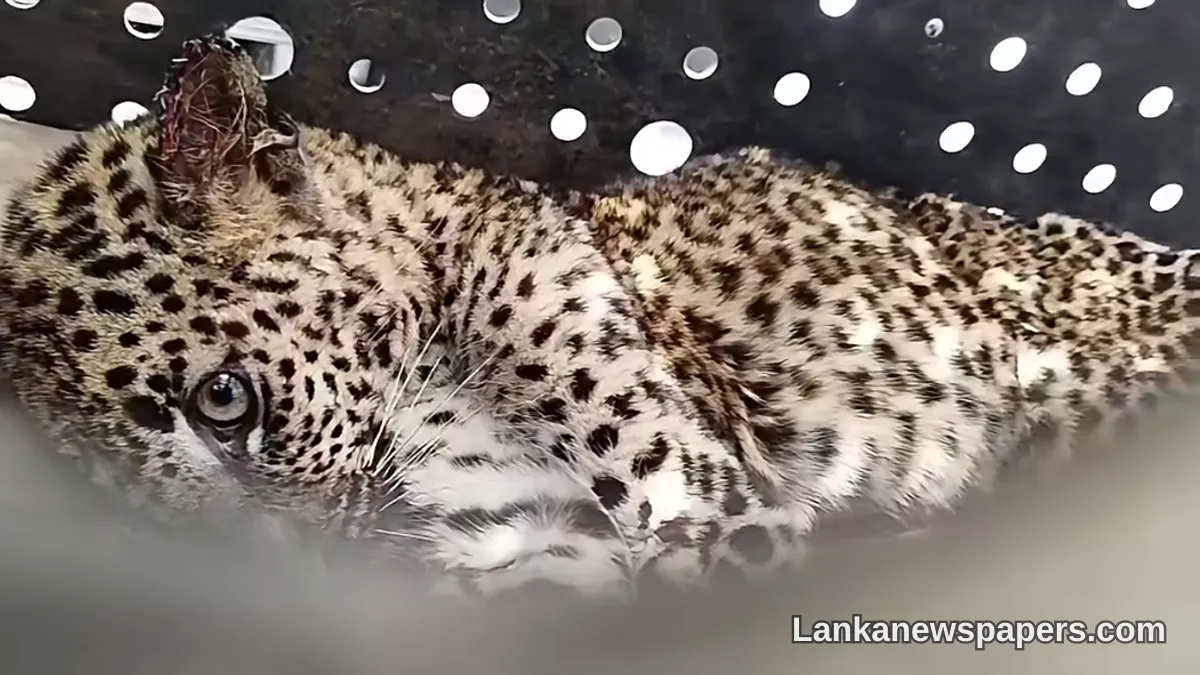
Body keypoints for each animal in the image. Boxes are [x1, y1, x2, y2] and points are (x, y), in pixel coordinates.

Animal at [2, 35, 1199, 601]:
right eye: (137, 514)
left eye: (224, 401)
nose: (307, 569)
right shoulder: (531, 546)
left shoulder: (710, 486)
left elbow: (701, 538)